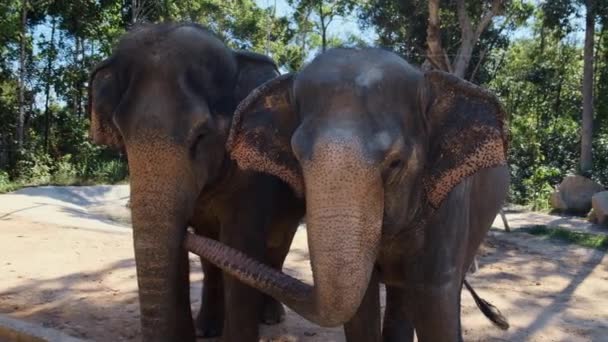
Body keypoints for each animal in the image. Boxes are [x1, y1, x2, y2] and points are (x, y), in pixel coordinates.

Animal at [85, 22, 304, 340]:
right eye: (122, 134)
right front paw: (200, 331)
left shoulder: (253, 178)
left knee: (278, 244)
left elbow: (240, 241)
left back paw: (271, 318)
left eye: (201, 136)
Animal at [185, 48, 508, 342]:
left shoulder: (447, 204)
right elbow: (360, 309)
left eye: (396, 163)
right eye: (296, 156)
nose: (185, 234)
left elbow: (435, 298)